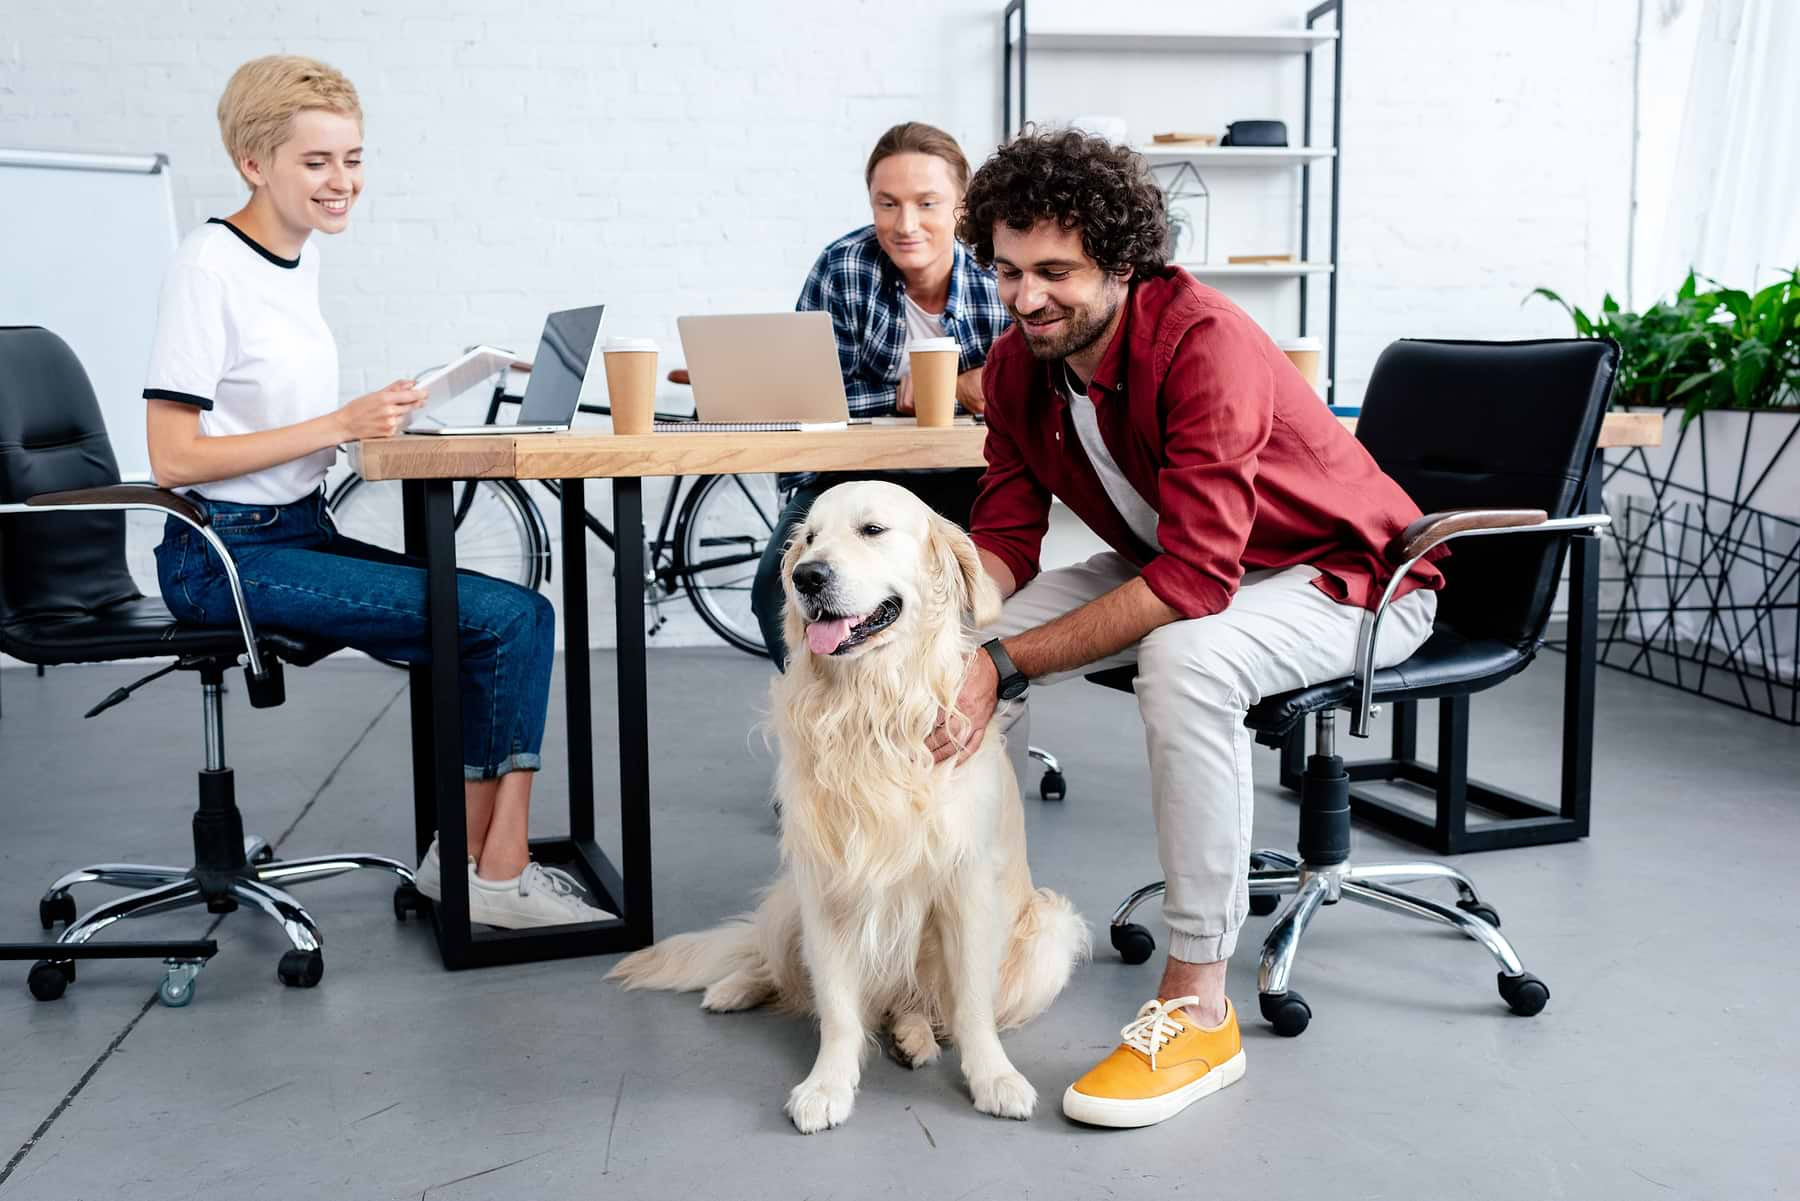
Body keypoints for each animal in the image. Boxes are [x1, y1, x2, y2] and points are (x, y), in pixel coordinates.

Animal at [608, 482, 1080, 1137]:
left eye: (872, 530)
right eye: (808, 537)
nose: (806, 576)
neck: (870, 708)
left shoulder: (966, 886)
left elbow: (971, 1003)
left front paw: (994, 1077)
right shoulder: (826, 885)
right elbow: (834, 1005)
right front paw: (827, 1085)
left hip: (1050, 935)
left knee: (922, 1004)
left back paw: (915, 1035)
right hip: (789, 902)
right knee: (773, 961)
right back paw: (734, 987)